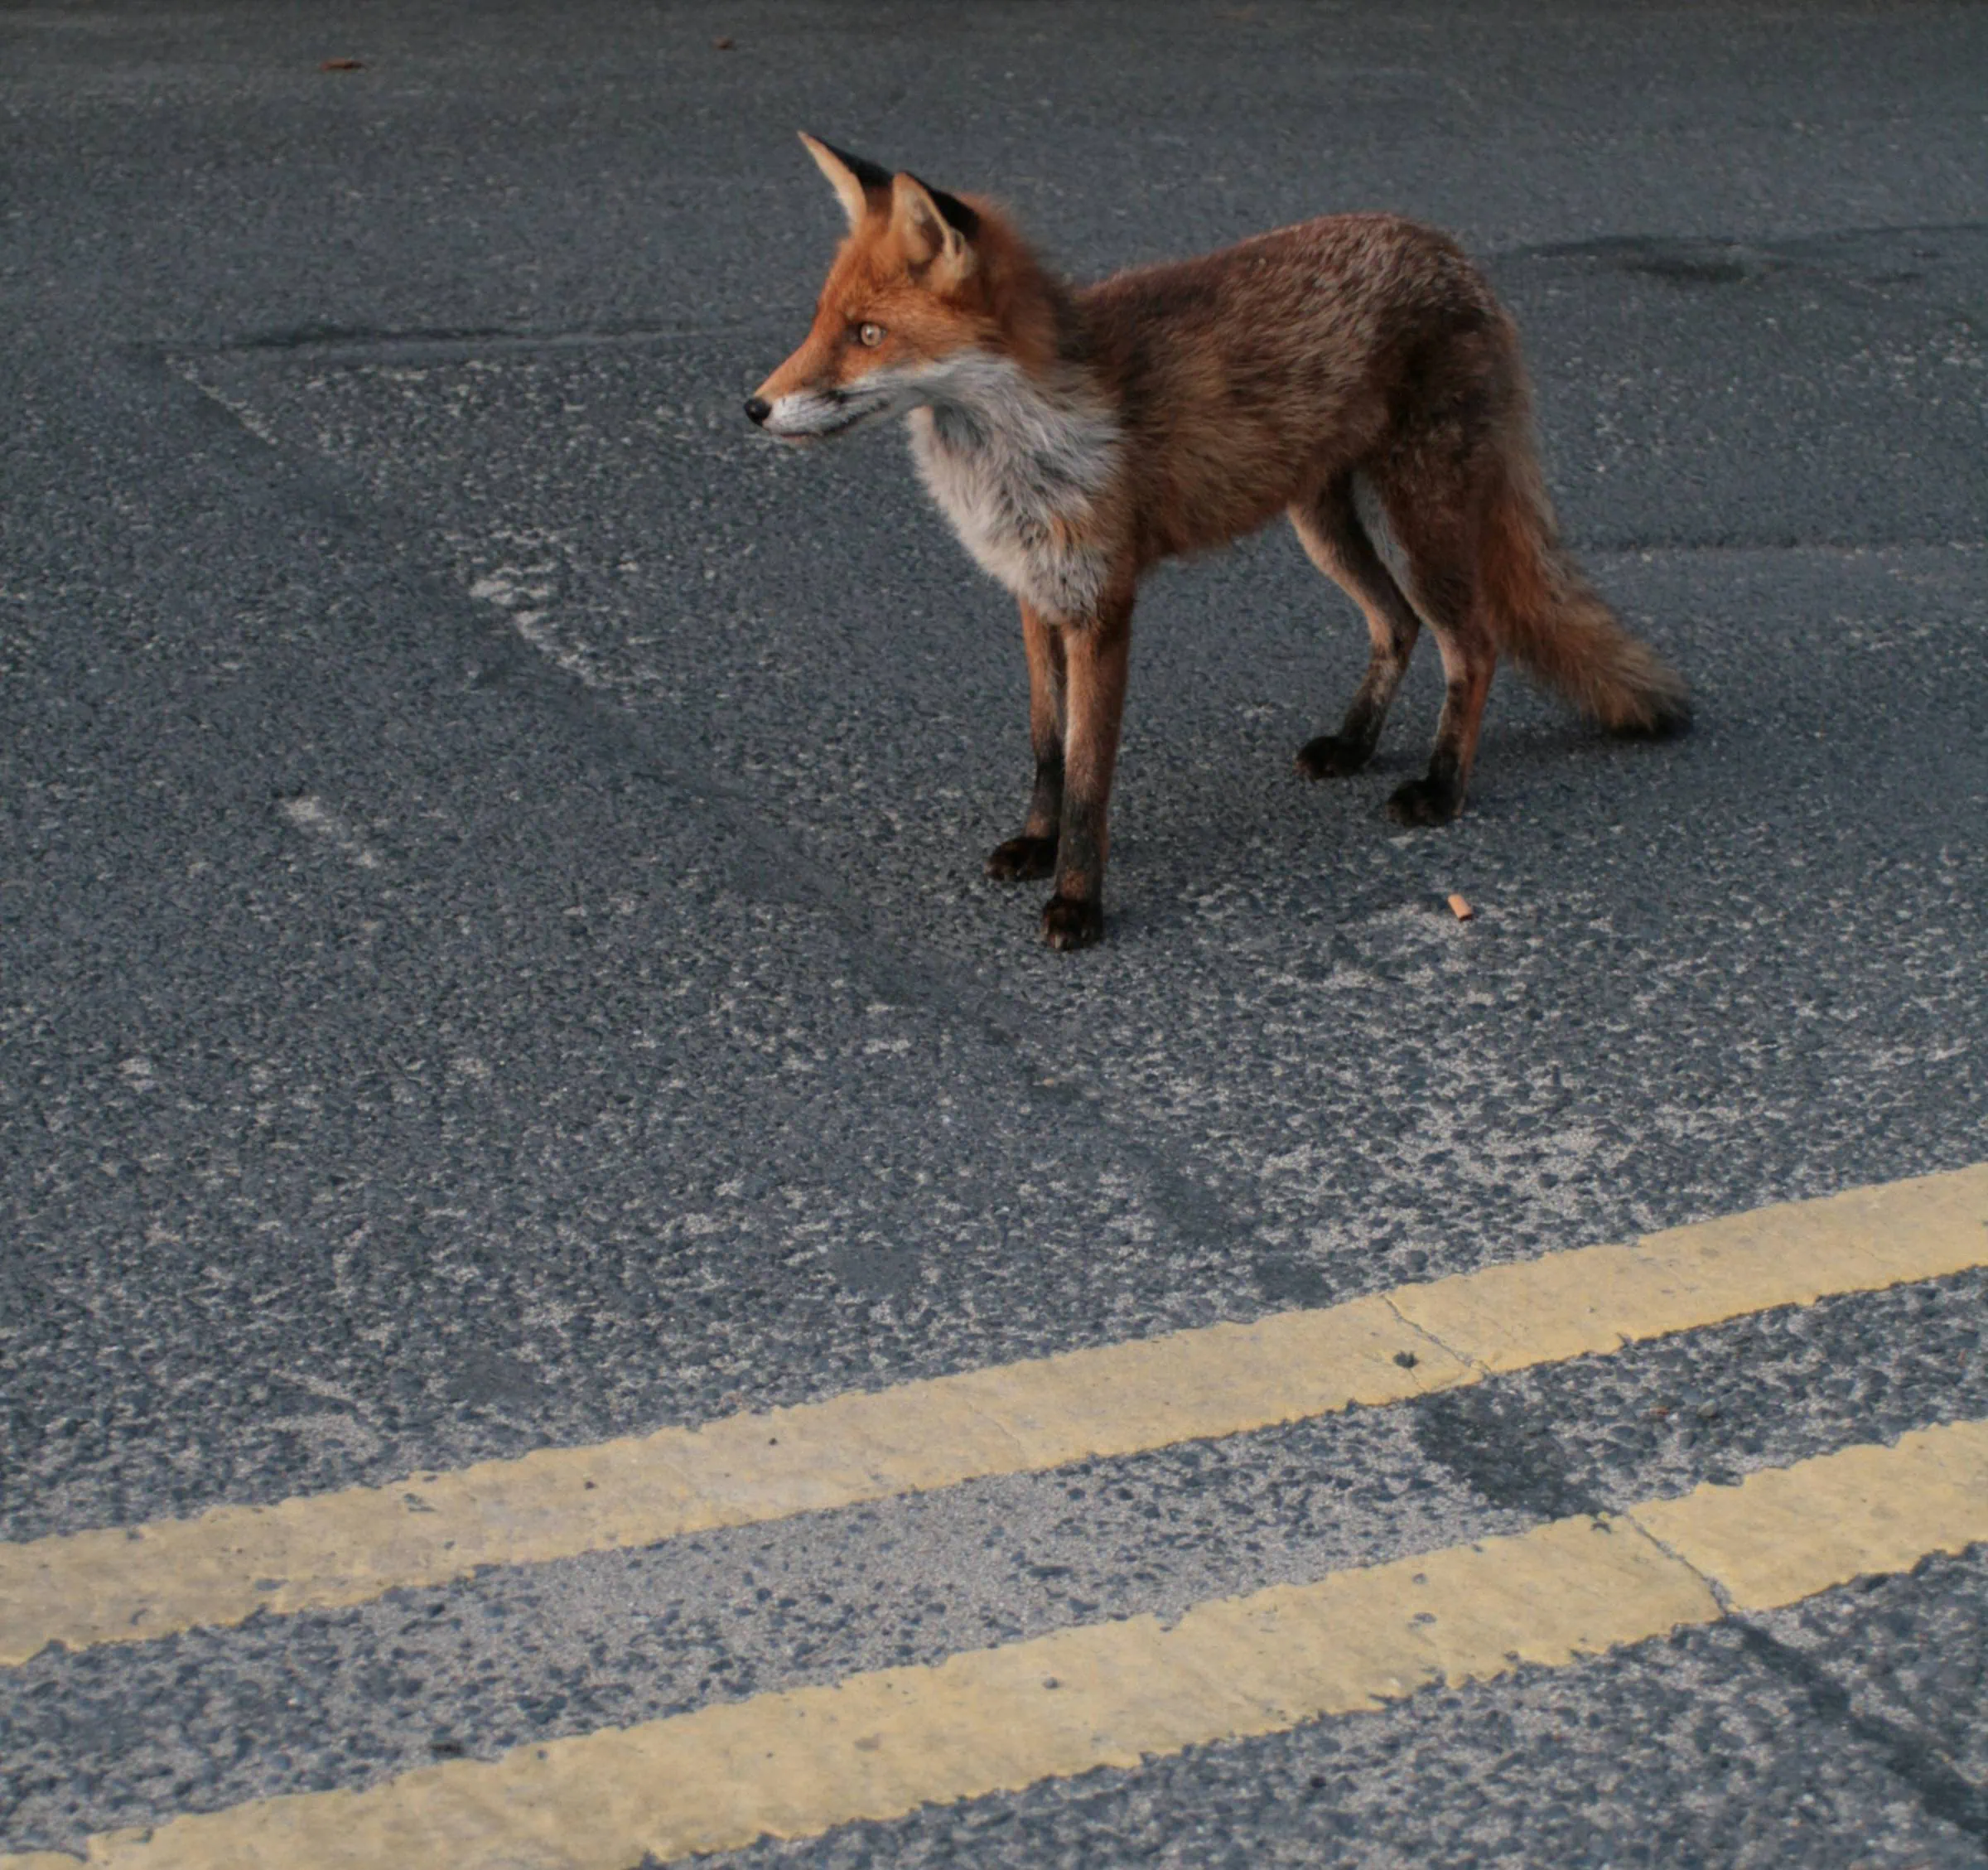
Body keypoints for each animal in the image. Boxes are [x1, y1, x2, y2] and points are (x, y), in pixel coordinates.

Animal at [751, 135, 1686, 950]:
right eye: (823, 321)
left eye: (869, 334)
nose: (754, 408)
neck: (1021, 446)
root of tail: (1452, 251)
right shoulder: (1035, 593)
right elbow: (1047, 749)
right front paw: (1036, 846)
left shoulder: (1104, 603)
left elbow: (1088, 778)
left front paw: (1078, 903)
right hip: (1324, 526)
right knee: (1396, 624)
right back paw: (1353, 746)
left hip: (1419, 521)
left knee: (1475, 645)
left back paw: (1441, 787)